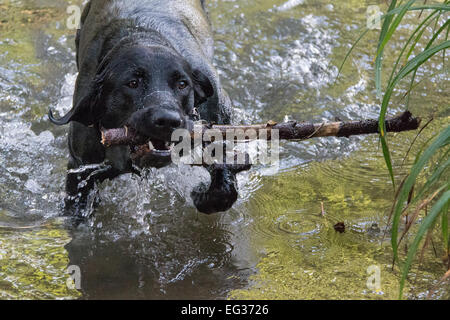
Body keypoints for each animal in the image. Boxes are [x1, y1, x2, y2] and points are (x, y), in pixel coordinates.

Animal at [50, 0, 246, 216]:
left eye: (182, 84)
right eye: (133, 83)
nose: (168, 120)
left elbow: (224, 187)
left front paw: (200, 195)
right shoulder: (81, 167)